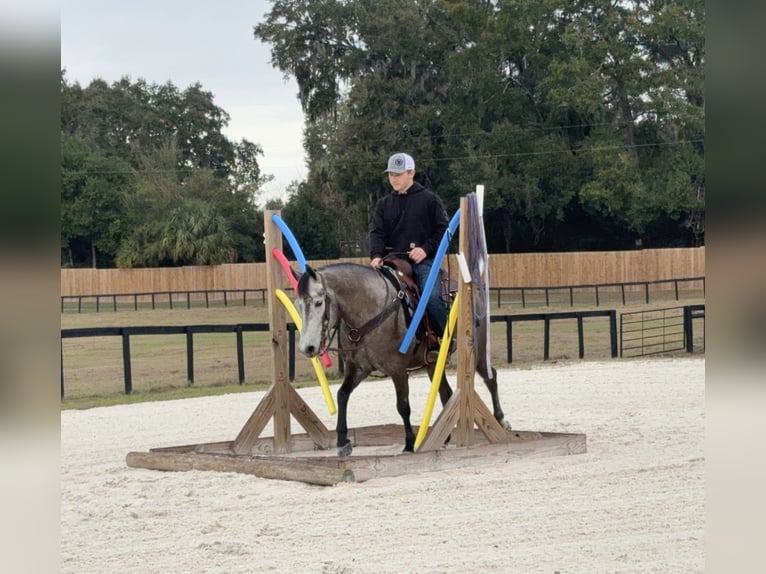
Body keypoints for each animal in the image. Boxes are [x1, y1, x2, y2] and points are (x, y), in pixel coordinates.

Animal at [294, 261, 511, 456]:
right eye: (298, 304)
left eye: (318, 302)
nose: (307, 347)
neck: (370, 312)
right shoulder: (357, 368)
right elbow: (342, 395)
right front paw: (342, 442)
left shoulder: (397, 369)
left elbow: (403, 405)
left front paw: (409, 444)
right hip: (433, 364)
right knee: (446, 393)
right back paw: (444, 437)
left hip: (478, 352)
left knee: (490, 378)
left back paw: (501, 420)